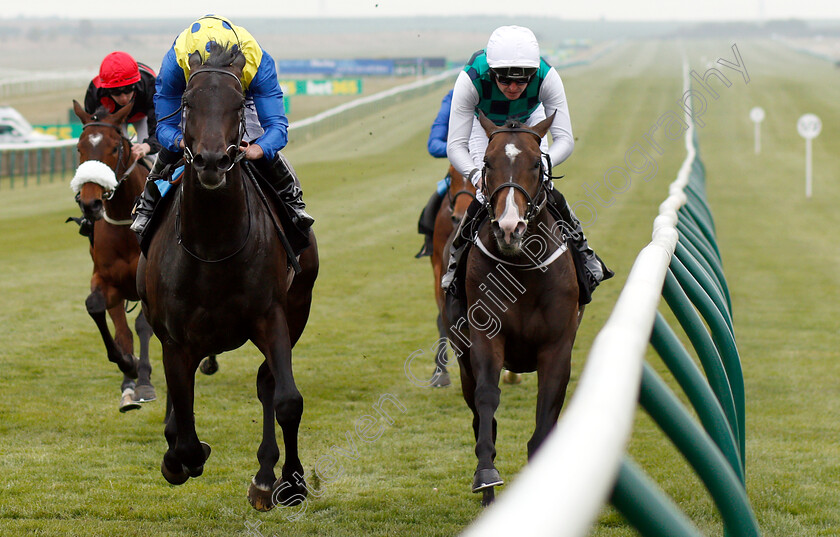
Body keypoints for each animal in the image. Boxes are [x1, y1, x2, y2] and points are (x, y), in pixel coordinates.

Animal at [70, 99, 156, 410]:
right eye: (79, 147)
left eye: (115, 148)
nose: (90, 203)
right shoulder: (107, 280)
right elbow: (98, 309)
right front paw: (128, 368)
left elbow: (143, 325)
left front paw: (143, 381)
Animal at [136, 43, 320, 510]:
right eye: (186, 102)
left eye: (239, 104)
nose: (212, 160)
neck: (213, 247)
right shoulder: (176, 337)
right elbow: (183, 423)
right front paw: (182, 457)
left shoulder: (272, 316)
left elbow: (287, 399)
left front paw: (291, 481)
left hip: (298, 309)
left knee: (267, 383)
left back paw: (266, 476)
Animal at [450, 111, 580, 504]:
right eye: (487, 164)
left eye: (536, 164)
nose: (510, 227)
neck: (522, 268)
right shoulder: (485, 337)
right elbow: (487, 399)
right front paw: (486, 475)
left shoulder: (557, 346)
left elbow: (546, 412)